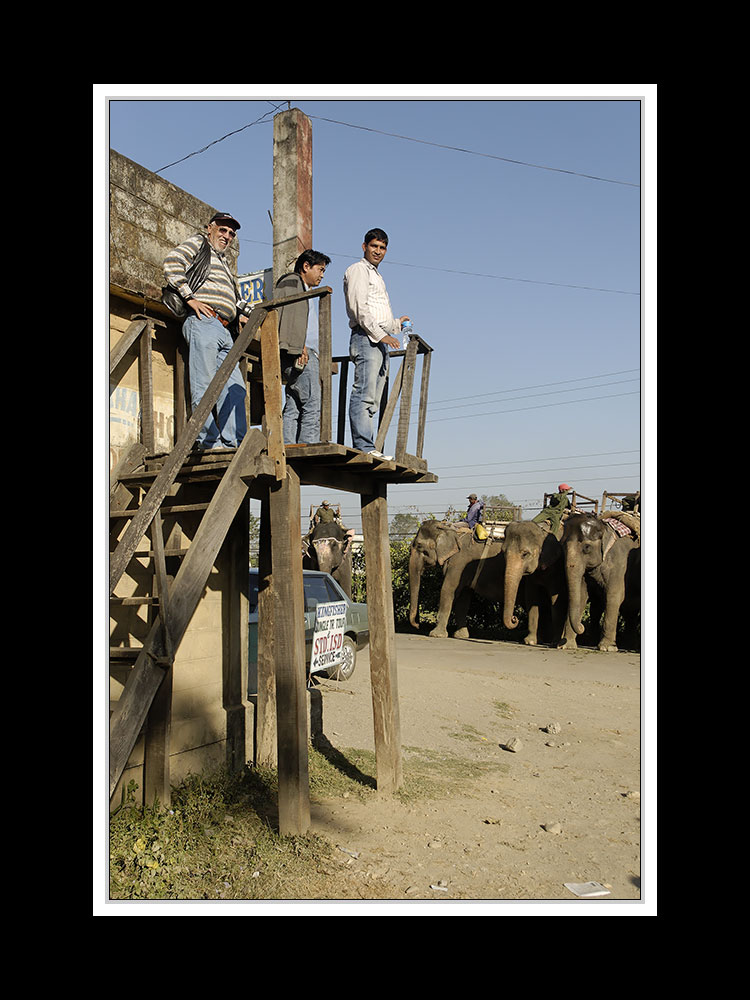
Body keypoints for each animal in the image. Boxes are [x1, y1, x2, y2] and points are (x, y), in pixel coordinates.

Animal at [502, 516, 580, 648]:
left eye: (525, 554)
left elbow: (556, 600)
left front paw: (554, 642)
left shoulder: (556, 567)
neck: (541, 530)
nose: (514, 619)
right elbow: (531, 597)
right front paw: (530, 641)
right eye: (503, 552)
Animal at [564, 512, 640, 652]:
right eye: (562, 545)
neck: (604, 527)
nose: (582, 626)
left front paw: (606, 648)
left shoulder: (619, 565)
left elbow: (614, 597)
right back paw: (629, 645)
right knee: (630, 613)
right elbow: (582, 596)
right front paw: (566, 646)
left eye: (586, 547)